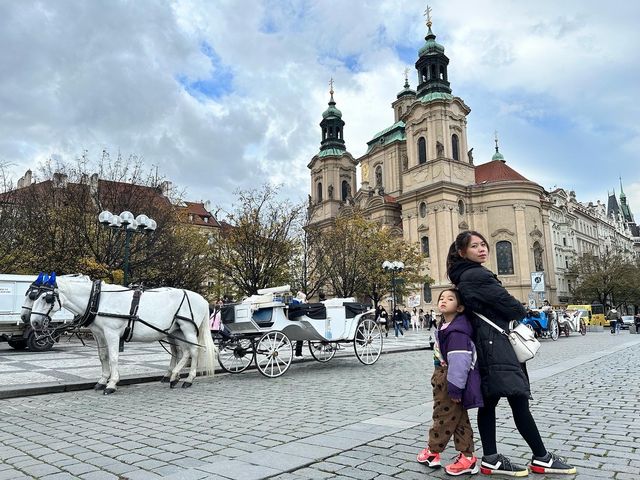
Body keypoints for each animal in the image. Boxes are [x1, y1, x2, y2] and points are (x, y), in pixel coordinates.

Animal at [29, 274, 218, 394]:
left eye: (46, 298)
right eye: (33, 296)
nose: (34, 322)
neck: (99, 299)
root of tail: (203, 299)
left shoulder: (112, 333)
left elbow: (113, 357)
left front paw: (112, 383)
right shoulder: (99, 334)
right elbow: (103, 357)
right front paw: (102, 381)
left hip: (188, 329)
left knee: (193, 351)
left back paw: (187, 379)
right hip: (175, 331)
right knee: (181, 352)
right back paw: (172, 376)